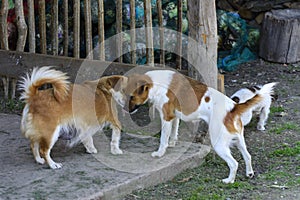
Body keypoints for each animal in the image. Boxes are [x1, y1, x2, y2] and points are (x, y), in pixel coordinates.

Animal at [118, 70, 278, 183]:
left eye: (132, 97)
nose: (123, 109)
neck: (156, 84)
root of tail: (234, 107)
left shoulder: (166, 117)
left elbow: (163, 138)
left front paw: (160, 153)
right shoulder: (175, 116)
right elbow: (174, 132)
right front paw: (172, 143)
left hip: (219, 144)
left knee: (234, 163)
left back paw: (229, 180)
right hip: (239, 141)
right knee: (247, 156)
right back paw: (249, 173)